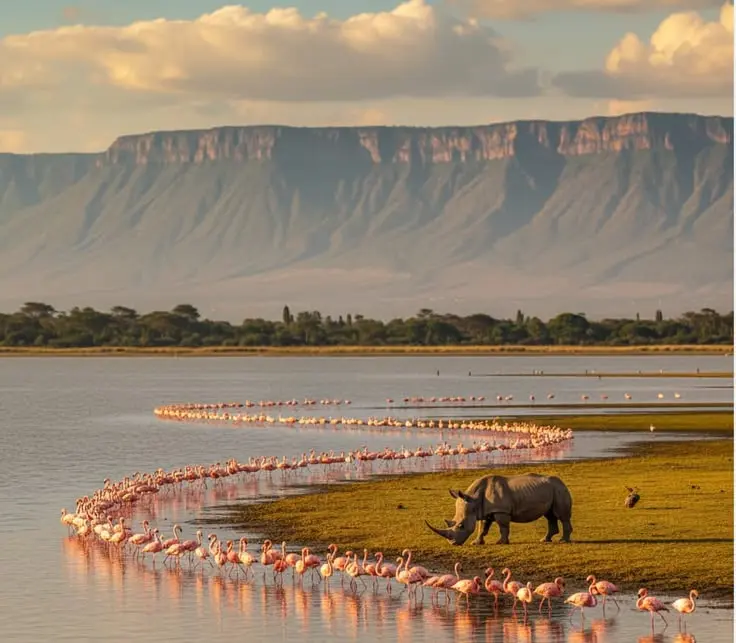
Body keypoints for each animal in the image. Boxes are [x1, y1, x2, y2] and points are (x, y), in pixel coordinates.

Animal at [425, 473, 573, 545]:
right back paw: (545, 540)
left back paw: (563, 541)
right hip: (552, 490)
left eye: (461, 526)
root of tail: (562, 482)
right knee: (549, 515)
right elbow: (482, 528)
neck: (473, 499)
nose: (452, 543)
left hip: (559, 489)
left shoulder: (501, 510)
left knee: (561, 516)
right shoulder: (486, 511)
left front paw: (501, 542)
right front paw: (476, 543)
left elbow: (503, 527)